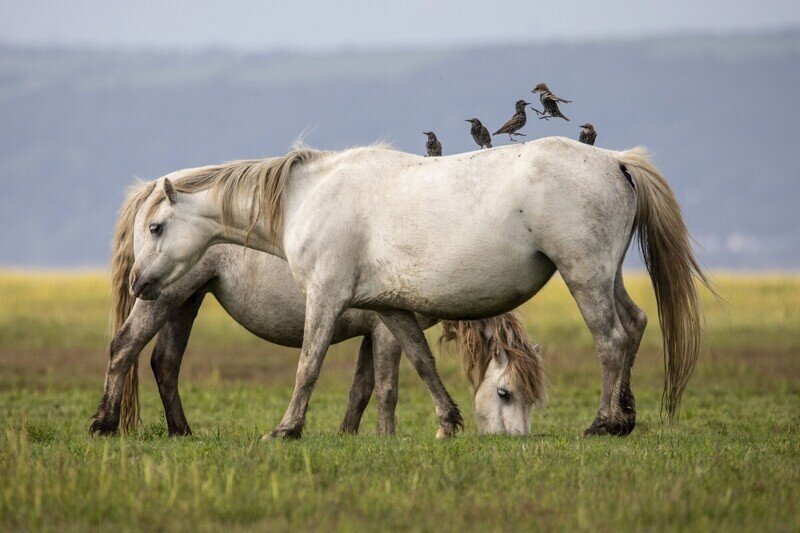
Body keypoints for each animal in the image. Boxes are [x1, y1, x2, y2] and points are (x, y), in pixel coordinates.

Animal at [90, 183, 548, 436]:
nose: (517, 443)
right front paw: (387, 437)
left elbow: (361, 388)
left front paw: (348, 434)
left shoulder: (371, 332)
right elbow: (388, 387)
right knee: (124, 348)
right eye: (505, 393)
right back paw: (105, 424)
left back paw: (181, 431)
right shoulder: (386, 332)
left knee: (165, 362)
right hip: (162, 297)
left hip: (185, 301)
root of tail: (150, 190)